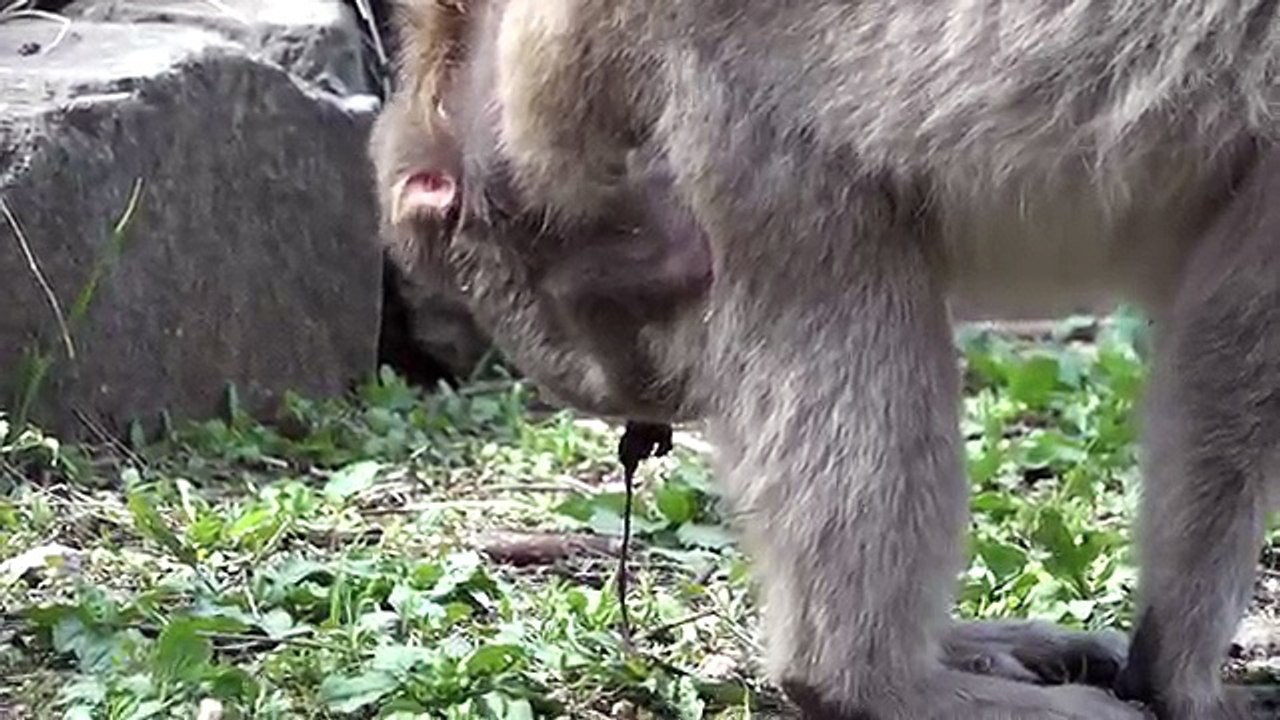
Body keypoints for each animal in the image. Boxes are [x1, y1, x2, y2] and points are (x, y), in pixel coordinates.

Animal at [370, 1, 1280, 719]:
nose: (646, 400)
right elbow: (1238, 335)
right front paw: (1182, 680)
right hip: (705, 98)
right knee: (830, 266)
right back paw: (870, 683)